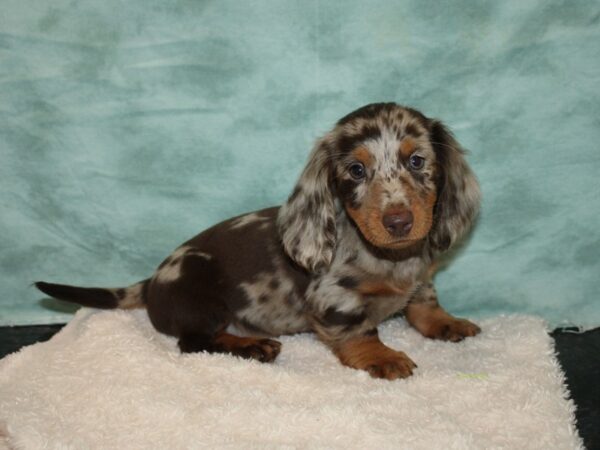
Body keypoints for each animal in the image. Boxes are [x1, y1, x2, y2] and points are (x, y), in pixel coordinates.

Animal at [35, 103, 480, 380]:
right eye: (356, 170)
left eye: (417, 161)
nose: (399, 222)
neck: (391, 258)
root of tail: (150, 283)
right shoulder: (333, 298)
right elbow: (360, 332)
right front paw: (381, 357)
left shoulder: (422, 279)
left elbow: (424, 304)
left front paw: (446, 322)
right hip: (203, 299)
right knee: (193, 343)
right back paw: (253, 347)